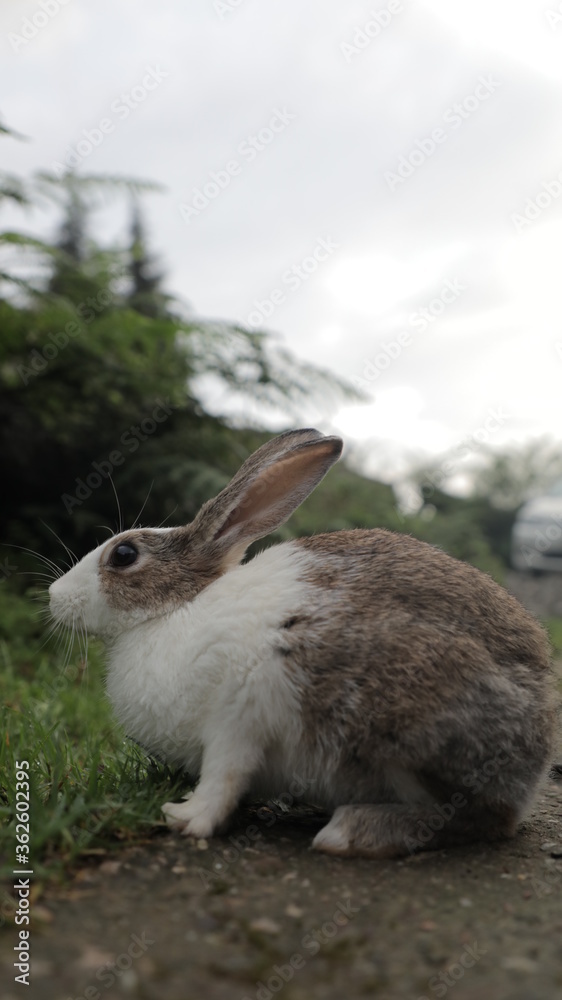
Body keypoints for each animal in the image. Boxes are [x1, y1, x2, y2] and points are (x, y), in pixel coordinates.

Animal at [49, 428, 558, 858]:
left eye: (124, 554)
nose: (54, 596)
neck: (174, 613)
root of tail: (536, 753)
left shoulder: (239, 717)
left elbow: (223, 777)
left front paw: (186, 817)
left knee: (475, 818)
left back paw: (350, 832)